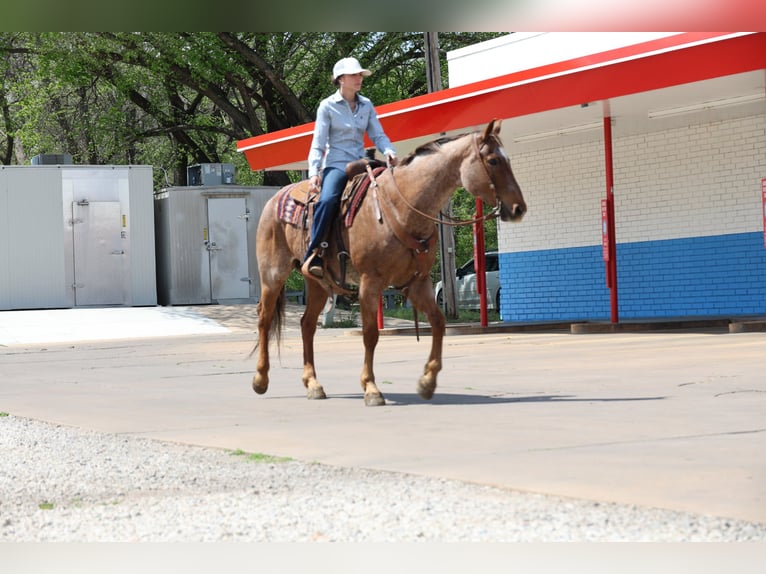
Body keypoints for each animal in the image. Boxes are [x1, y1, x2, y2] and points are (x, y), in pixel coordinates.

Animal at [252, 118, 526, 406]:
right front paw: (371, 388)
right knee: (264, 319)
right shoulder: (370, 283)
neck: (402, 207)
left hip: (316, 282)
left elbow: (438, 322)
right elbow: (371, 334)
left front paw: (427, 381)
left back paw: (313, 384)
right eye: (493, 160)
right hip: (272, 275)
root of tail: (275, 199)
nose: (518, 208)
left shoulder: (418, 283)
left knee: (306, 324)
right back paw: (260, 380)